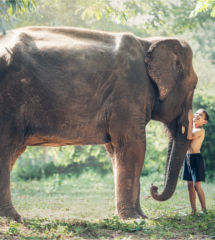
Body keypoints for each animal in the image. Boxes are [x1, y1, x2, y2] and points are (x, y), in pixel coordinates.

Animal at [0, 26, 197, 223]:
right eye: (194, 86)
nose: (154, 187)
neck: (149, 41)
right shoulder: (129, 91)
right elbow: (134, 146)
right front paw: (133, 219)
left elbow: (115, 150)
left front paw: (141, 217)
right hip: (10, 98)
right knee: (8, 147)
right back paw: (13, 218)